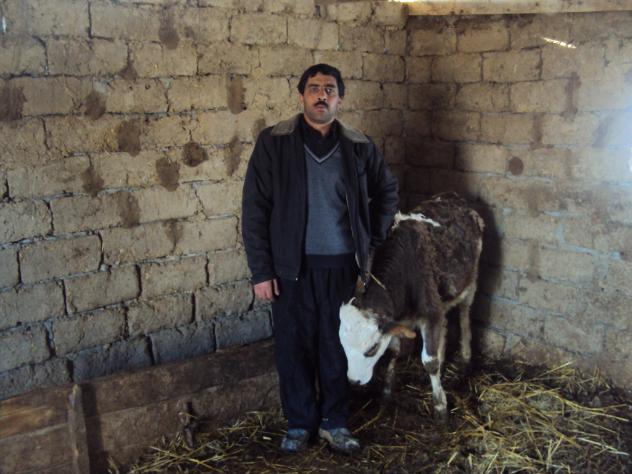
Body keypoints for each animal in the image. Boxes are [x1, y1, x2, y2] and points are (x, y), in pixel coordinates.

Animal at [339, 193, 484, 421]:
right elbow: (394, 352)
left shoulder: (429, 312)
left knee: (464, 316)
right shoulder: (399, 318)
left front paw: (440, 407)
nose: (353, 381)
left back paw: (465, 361)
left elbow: (430, 362)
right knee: (444, 323)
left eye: (371, 350)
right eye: (342, 345)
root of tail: (453, 197)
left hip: (471, 281)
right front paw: (387, 393)